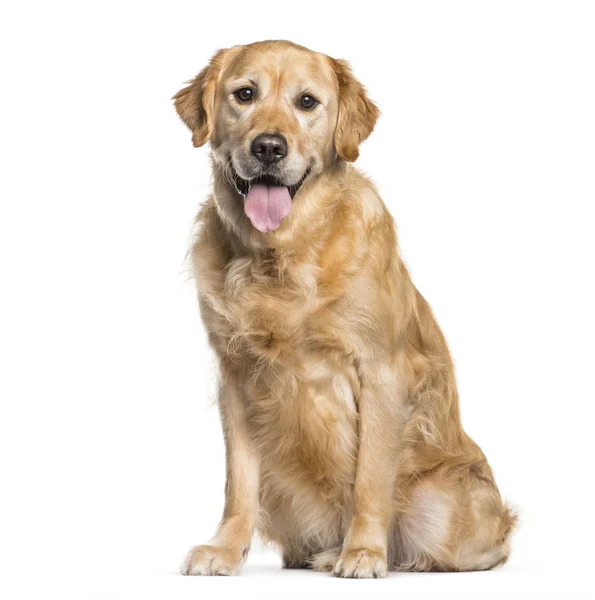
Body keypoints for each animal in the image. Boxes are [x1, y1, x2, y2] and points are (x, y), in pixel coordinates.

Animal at [173, 38, 516, 576]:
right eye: (245, 94)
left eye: (307, 102)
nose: (268, 147)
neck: (280, 256)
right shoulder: (236, 374)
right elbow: (238, 483)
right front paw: (225, 549)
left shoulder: (380, 371)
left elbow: (370, 479)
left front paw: (364, 552)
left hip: (445, 508)